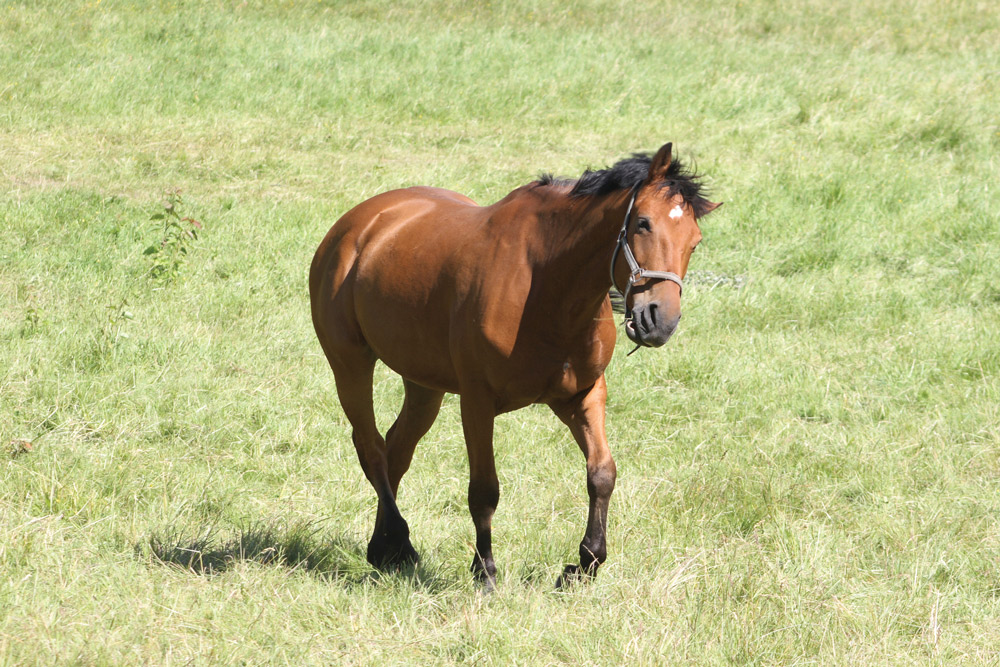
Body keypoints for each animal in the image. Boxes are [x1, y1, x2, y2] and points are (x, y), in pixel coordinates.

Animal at [310, 142, 720, 588]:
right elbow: (484, 489)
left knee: (396, 450)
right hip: (350, 364)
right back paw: (399, 541)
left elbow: (602, 474)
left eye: (695, 241)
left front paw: (583, 564)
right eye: (643, 223)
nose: (659, 321)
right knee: (370, 448)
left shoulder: (582, 395)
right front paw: (485, 571)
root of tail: (358, 223)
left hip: (424, 384)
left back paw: (383, 547)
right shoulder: (476, 401)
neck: (545, 284)